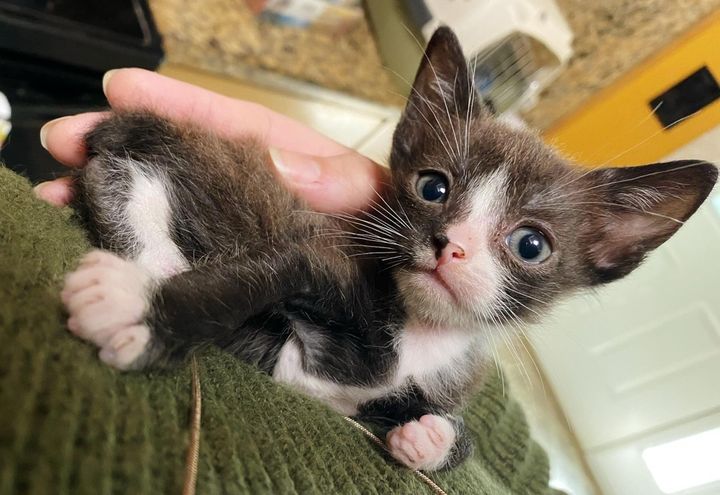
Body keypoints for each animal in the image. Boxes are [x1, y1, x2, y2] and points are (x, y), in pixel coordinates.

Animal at [60, 28, 716, 472]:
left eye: (531, 245)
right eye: (433, 187)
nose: (449, 246)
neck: (419, 333)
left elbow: (440, 429)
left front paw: (435, 440)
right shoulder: (315, 257)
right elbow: (243, 281)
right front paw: (147, 316)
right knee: (111, 179)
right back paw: (143, 272)